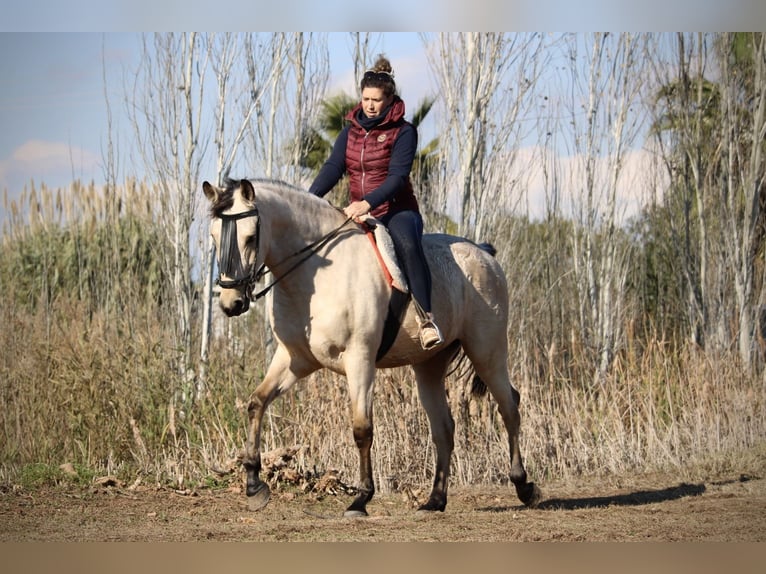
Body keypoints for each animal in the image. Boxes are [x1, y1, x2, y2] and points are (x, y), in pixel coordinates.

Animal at [202, 177, 540, 516]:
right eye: (213, 236)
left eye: (250, 238)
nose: (231, 304)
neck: (316, 275)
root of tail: (484, 253)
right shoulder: (295, 359)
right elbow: (256, 403)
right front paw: (254, 485)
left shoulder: (359, 358)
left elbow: (362, 429)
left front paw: (361, 498)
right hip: (429, 365)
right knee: (444, 427)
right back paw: (435, 500)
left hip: (487, 351)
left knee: (509, 407)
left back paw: (524, 486)